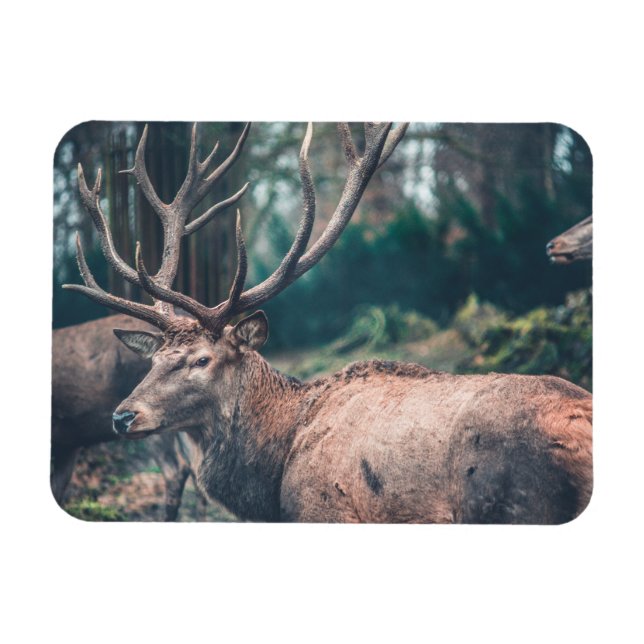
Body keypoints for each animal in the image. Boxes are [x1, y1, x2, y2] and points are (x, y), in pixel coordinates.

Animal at [63, 121, 592, 524]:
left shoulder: (323, 509)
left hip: (517, 503)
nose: (122, 416)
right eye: (154, 360)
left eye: (201, 360)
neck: (273, 483)